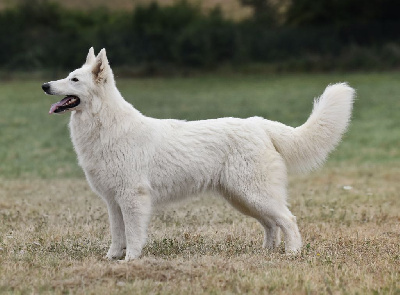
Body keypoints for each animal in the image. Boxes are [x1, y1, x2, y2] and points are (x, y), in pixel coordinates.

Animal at [41, 46, 354, 262]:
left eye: (74, 79)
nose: (45, 86)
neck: (107, 126)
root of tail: (260, 125)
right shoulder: (113, 202)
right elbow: (118, 235)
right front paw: (111, 259)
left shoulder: (133, 198)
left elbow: (133, 234)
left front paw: (130, 260)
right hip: (243, 198)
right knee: (271, 225)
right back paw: (265, 252)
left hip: (255, 194)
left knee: (288, 220)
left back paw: (292, 253)